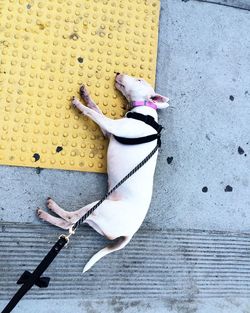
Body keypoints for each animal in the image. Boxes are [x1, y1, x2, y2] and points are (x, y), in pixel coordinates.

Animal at [37, 73, 169, 270]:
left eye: (139, 80)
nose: (118, 73)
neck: (144, 113)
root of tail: (128, 234)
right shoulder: (109, 132)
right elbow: (96, 109)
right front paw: (86, 95)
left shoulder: (113, 127)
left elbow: (94, 113)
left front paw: (80, 105)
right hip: (96, 218)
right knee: (68, 224)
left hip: (99, 207)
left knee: (70, 219)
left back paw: (51, 209)